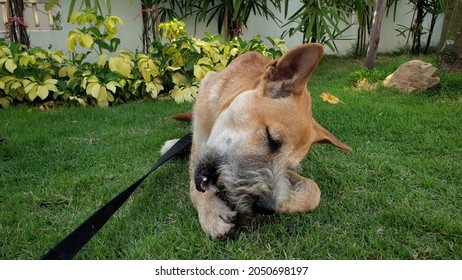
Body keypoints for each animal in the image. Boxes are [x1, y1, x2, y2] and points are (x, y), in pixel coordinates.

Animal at [163, 43, 350, 238]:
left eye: (290, 167)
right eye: (271, 138)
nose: (266, 207)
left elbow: (314, 191)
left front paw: (287, 201)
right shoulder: (199, 145)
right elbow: (195, 187)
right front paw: (212, 211)